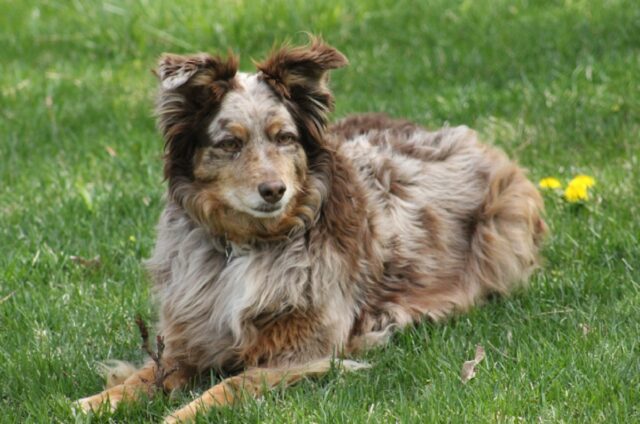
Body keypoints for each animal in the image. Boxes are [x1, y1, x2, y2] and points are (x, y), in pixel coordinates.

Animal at [75, 38, 544, 422]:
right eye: (230, 144)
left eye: (285, 138)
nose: (274, 190)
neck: (248, 244)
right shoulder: (190, 336)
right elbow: (145, 376)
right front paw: (96, 402)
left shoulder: (305, 352)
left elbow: (232, 384)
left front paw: (182, 413)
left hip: (503, 225)